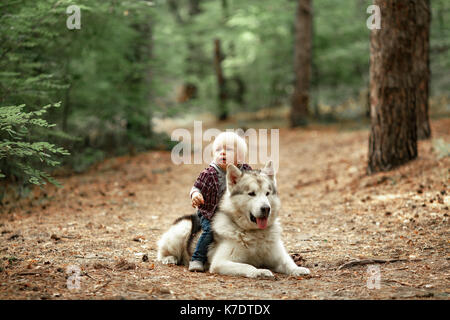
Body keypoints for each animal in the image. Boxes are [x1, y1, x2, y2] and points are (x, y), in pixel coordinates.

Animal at [156, 161, 312, 278]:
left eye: (267, 193)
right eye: (251, 194)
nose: (266, 209)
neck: (254, 233)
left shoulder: (278, 257)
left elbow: (288, 263)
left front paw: (298, 269)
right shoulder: (220, 262)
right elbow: (248, 266)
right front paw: (260, 271)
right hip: (182, 229)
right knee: (162, 252)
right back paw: (170, 258)